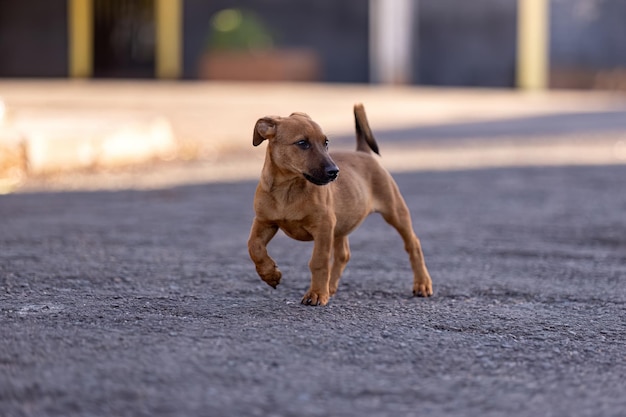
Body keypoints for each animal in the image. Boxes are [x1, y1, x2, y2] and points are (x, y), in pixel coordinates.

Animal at [246, 104, 432, 306]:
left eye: (326, 142)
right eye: (302, 143)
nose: (334, 172)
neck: (287, 189)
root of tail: (363, 152)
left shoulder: (323, 226)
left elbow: (318, 261)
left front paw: (316, 294)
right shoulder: (264, 222)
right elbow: (254, 246)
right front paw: (270, 275)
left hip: (395, 211)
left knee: (413, 244)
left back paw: (422, 284)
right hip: (341, 225)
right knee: (343, 255)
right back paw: (330, 287)